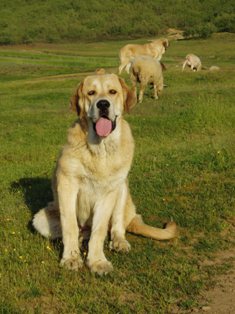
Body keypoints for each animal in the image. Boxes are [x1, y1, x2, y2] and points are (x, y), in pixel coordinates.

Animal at [32, 72, 176, 274]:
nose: (103, 104)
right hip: (41, 218)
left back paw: (119, 242)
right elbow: (70, 225)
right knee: (78, 230)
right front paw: (71, 257)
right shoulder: (67, 185)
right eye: (91, 93)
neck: (100, 149)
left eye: (112, 92)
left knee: (116, 226)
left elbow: (99, 231)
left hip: (122, 189)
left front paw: (97, 261)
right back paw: (80, 241)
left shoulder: (108, 192)